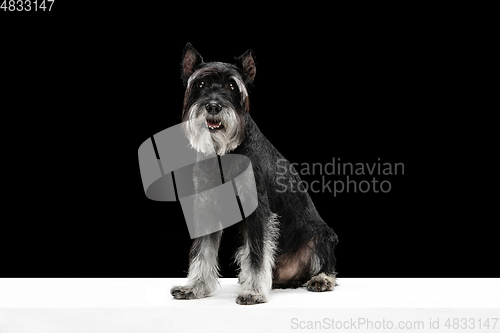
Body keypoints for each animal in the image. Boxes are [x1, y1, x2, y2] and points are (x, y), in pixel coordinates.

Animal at [170, 42, 338, 304]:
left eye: (232, 86)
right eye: (201, 84)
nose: (213, 106)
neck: (225, 152)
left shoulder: (257, 211)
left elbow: (257, 254)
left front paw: (254, 291)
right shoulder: (205, 208)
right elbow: (202, 253)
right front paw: (195, 287)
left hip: (321, 235)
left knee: (326, 262)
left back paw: (322, 279)